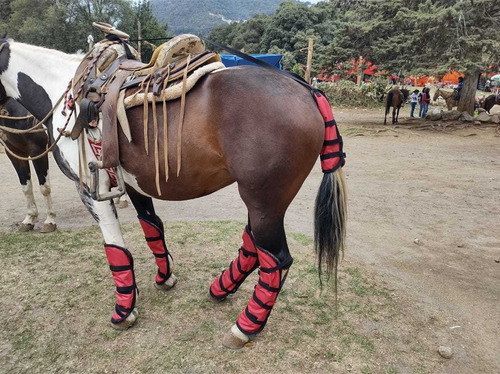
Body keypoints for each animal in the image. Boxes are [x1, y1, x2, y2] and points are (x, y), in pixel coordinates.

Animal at [0, 37, 348, 348]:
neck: (62, 93)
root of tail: (309, 91)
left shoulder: (91, 192)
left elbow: (116, 250)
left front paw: (124, 310)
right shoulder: (132, 184)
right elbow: (152, 227)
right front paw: (164, 277)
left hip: (263, 200)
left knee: (276, 260)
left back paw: (245, 326)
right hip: (265, 202)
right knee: (253, 245)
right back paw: (221, 288)